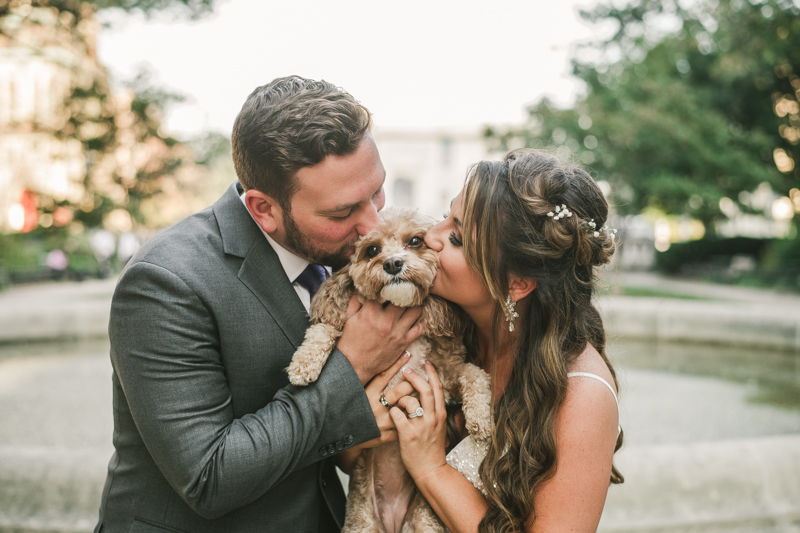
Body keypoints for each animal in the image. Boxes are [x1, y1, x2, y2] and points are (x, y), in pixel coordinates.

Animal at [284, 206, 490, 528]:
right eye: (372, 250)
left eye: (415, 241)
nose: (393, 263)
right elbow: (324, 328)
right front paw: (304, 364)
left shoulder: (447, 374)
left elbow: (475, 374)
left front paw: (481, 417)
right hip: (361, 521)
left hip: (423, 521)